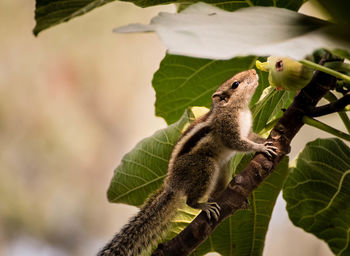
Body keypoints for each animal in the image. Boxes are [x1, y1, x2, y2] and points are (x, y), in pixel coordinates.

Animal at [98, 68, 276, 256]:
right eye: (235, 84)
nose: (253, 71)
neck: (238, 108)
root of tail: (172, 184)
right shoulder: (228, 129)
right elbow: (238, 143)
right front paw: (261, 147)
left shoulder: (246, 131)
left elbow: (251, 137)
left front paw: (265, 141)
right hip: (203, 166)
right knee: (190, 200)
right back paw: (203, 205)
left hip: (222, 169)